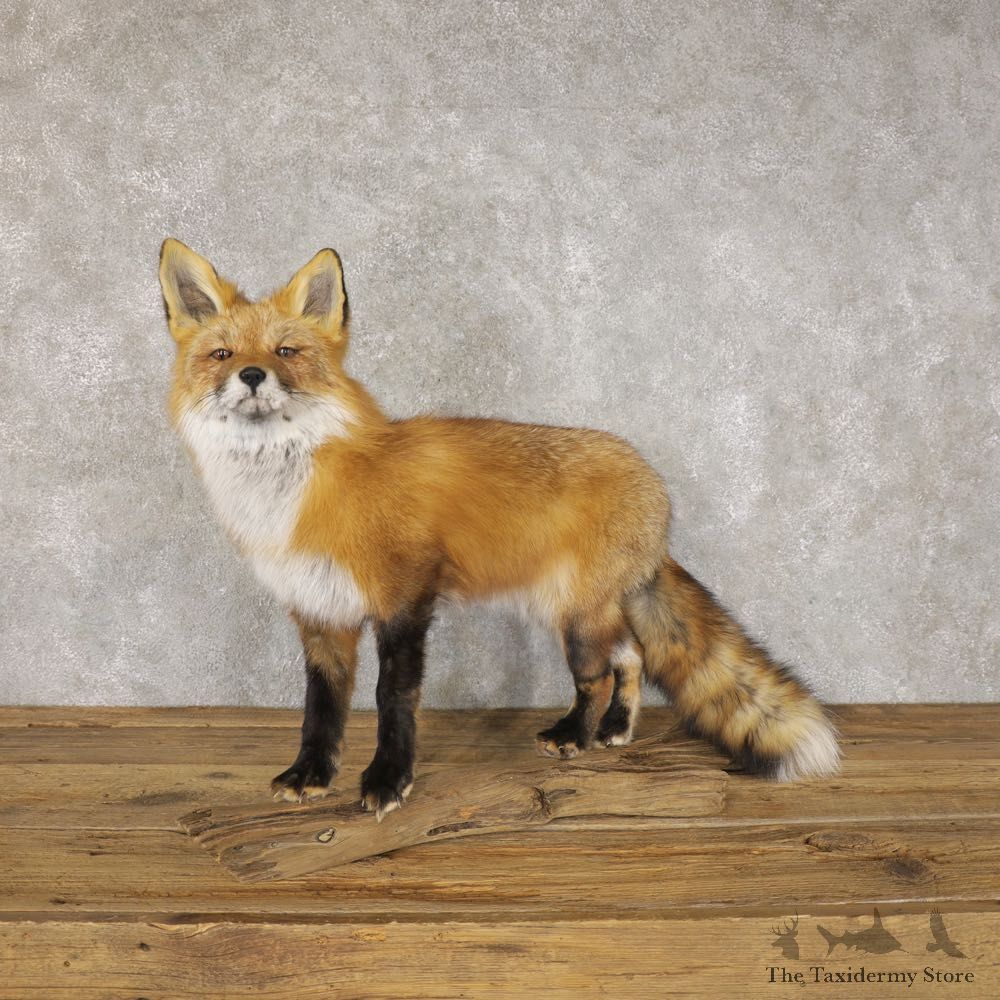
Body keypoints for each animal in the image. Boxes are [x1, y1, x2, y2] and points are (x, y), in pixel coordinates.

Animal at [158, 239, 840, 820]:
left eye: (286, 352)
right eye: (223, 354)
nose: (251, 377)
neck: (291, 492)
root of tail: (654, 489)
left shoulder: (404, 598)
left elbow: (390, 699)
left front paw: (388, 781)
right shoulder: (318, 610)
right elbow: (319, 710)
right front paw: (311, 775)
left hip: (572, 613)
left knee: (599, 673)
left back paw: (575, 736)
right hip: (571, 608)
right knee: (630, 655)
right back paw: (615, 731)